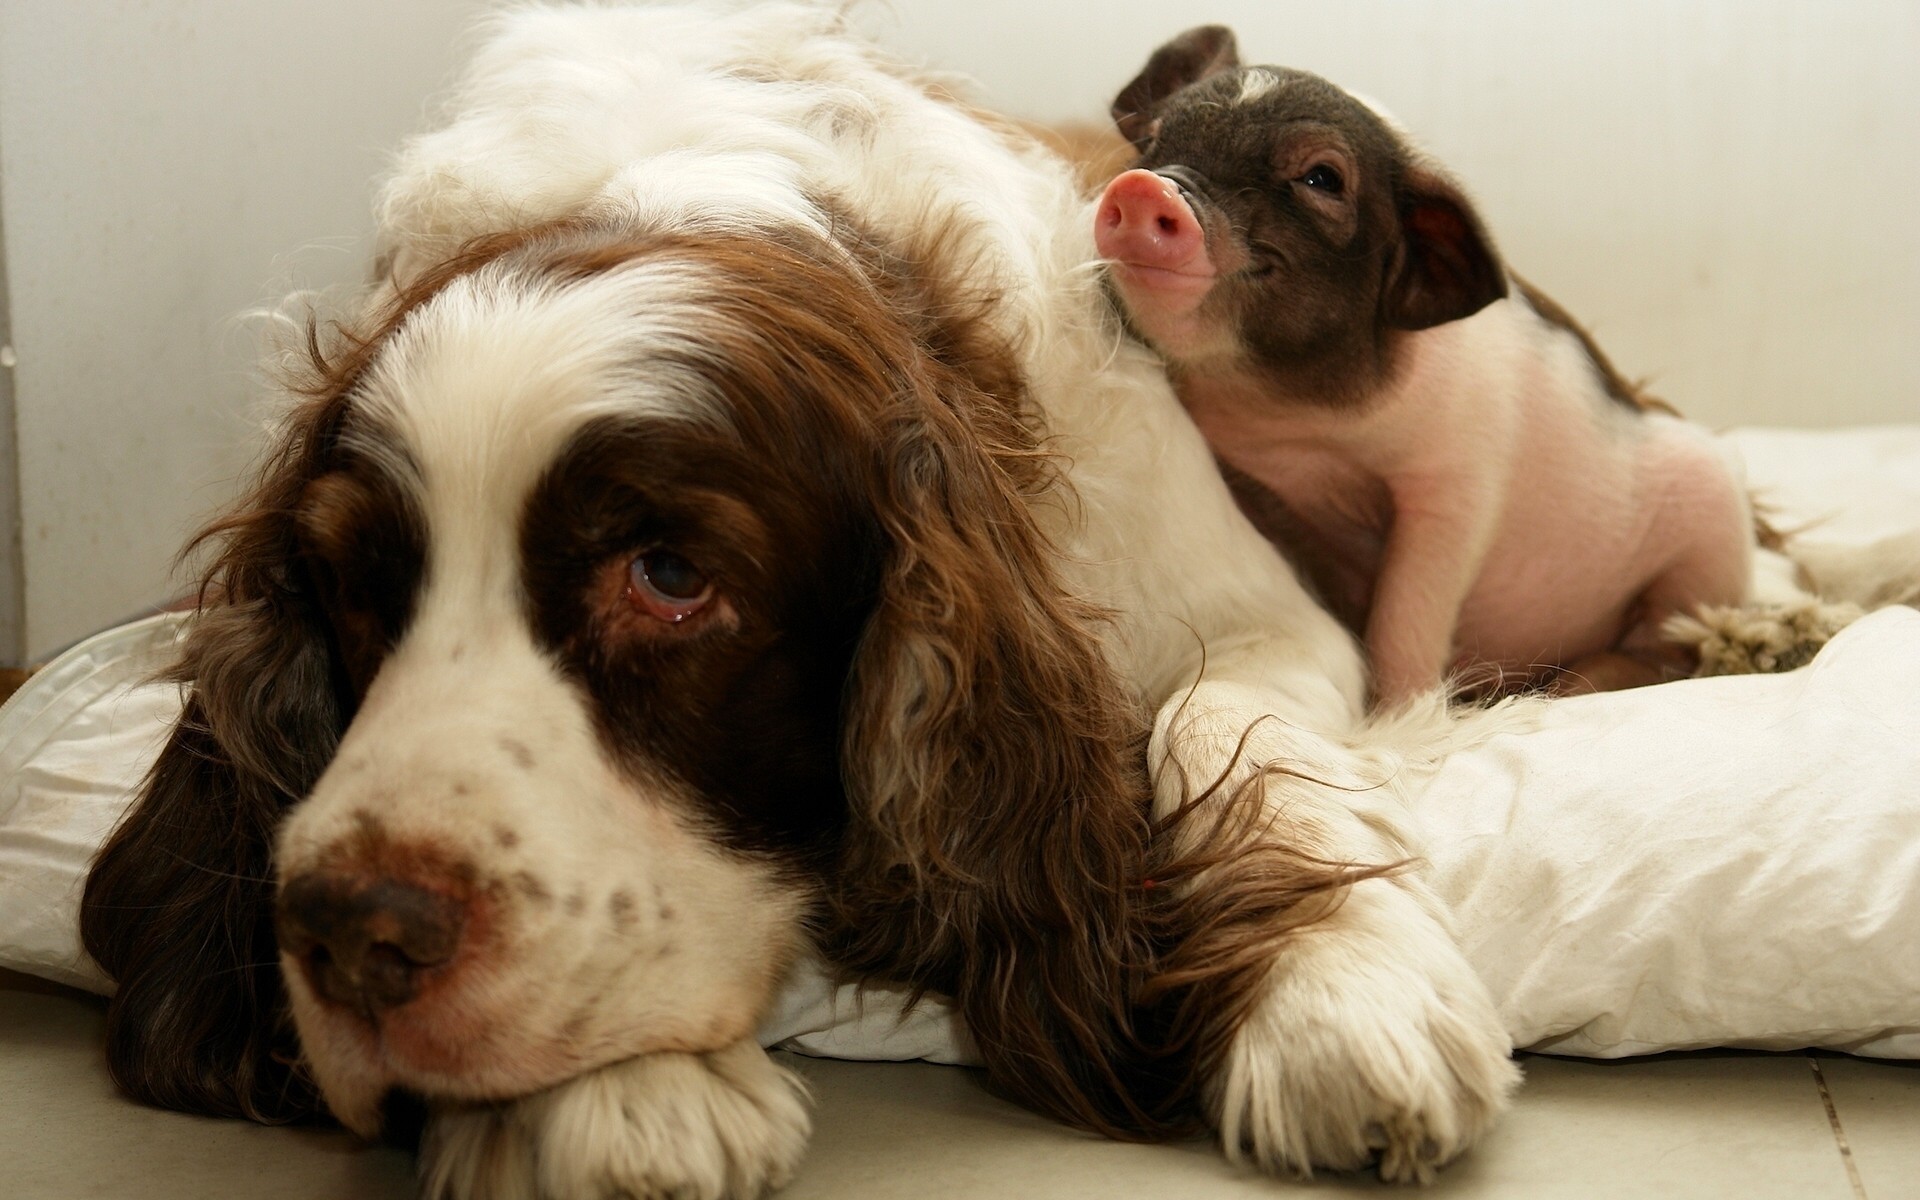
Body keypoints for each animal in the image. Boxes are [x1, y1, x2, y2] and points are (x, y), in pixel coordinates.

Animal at [78, 4, 1512, 1190]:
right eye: (353, 583)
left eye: (670, 579)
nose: (347, 936)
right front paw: (619, 1093)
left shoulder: (1262, 616)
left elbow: (1233, 733)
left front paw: (1345, 999)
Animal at [1105, 25, 1758, 702]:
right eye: (1153, 139)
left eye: (1321, 178)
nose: (1147, 186)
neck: (1290, 423)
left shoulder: (1460, 475)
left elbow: (1407, 609)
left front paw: (1401, 713)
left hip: (1709, 533)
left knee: (1666, 649)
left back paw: (1571, 686)